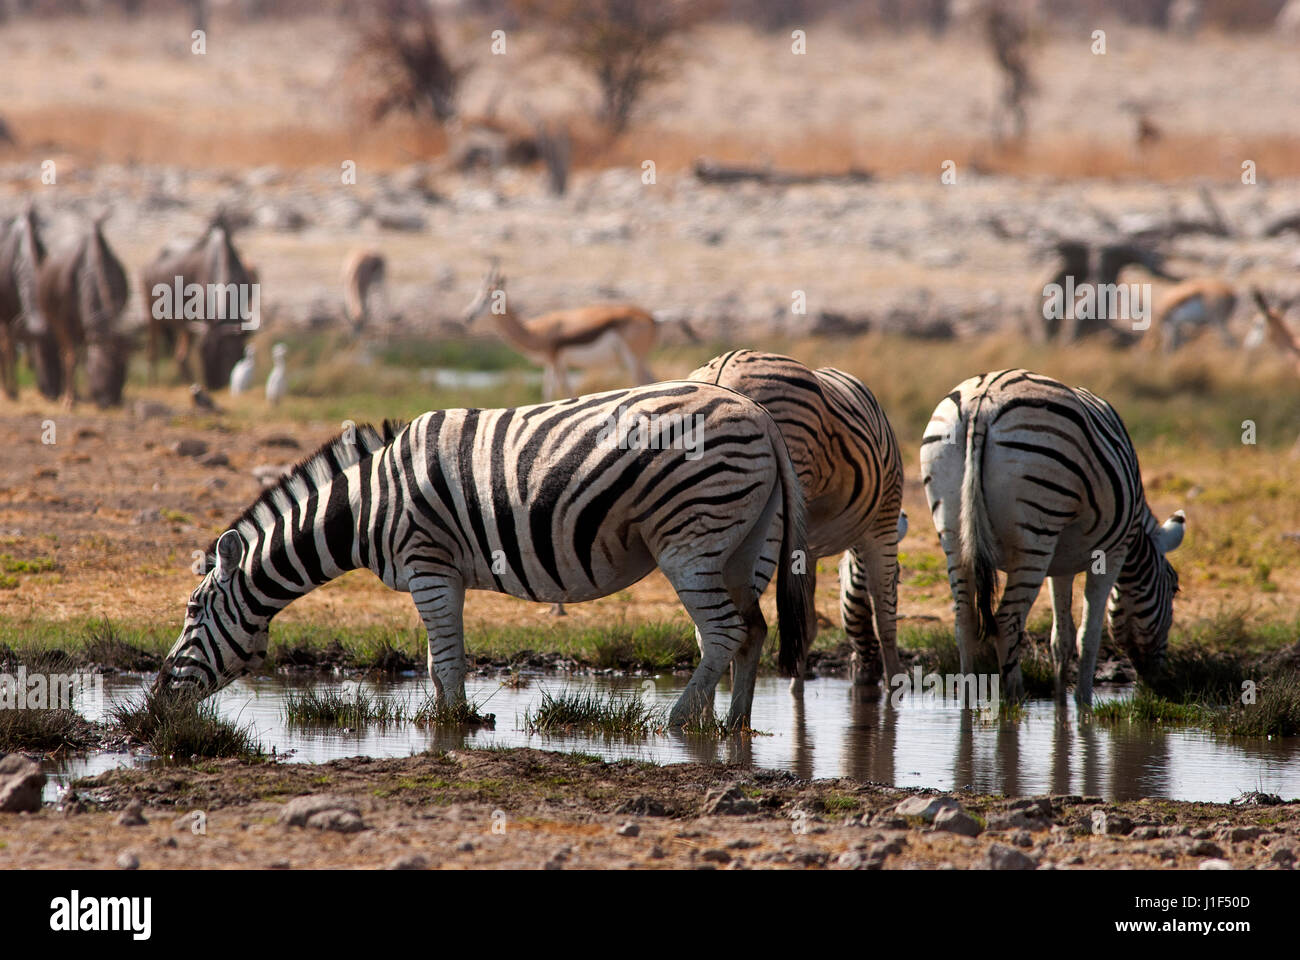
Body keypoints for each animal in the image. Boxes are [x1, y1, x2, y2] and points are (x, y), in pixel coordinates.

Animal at [154, 382, 811, 723]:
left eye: (192, 612)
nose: (157, 700)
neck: (368, 504)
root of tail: (758, 414)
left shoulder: (428, 567)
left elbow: (446, 663)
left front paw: (453, 728)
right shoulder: (444, 575)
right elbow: (438, 662)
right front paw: (446, 725)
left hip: (689, 541)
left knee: (723, 633)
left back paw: (677, 725)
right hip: (745, 544)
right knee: (752, 631)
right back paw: (733, 729)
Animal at [462, 260, 655, 398]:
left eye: (489, 298)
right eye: (477, 295)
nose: (467, 316)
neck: (534, 332)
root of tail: (650, 318)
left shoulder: (555, 360)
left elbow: (557, 392)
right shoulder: (555, 364)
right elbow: (557, 392)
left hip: (632, 359)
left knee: (642, 381)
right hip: (639, 360)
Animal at [691, 348, 904, 686]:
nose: (865, 675)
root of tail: (724, 367)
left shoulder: (808, 548)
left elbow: (807, 623)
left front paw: (797, 685)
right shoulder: (883, 521)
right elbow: (885, 616)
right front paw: (895, 688)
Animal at [920, 366, 1185, 702]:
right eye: (1174, 588)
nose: (1157, 681)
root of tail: (983, 402)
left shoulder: (1060, 563)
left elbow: (1062, 637)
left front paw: (1061, 703)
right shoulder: (1112, 553)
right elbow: (1088, 633)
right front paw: (1083, 702)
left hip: (952, 527)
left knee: (965, 619)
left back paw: (967, 701)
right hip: (1036, 528)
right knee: (1006, 620)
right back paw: (1013, 700)